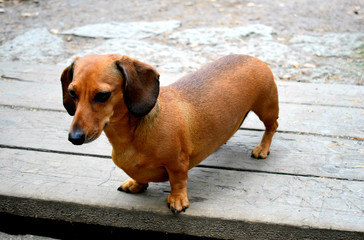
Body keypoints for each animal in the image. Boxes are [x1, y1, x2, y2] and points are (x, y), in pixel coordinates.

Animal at [61, 54, 278, 214]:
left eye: (102, 95)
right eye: (72, 93)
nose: (74, 138)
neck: (130, 136)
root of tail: (253, 57)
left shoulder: (177, 163)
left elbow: (178, 180)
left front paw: (177, 200)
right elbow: (138, 176)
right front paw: (135, 184)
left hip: (266, 108)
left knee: (272, 126)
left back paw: (262, 148)